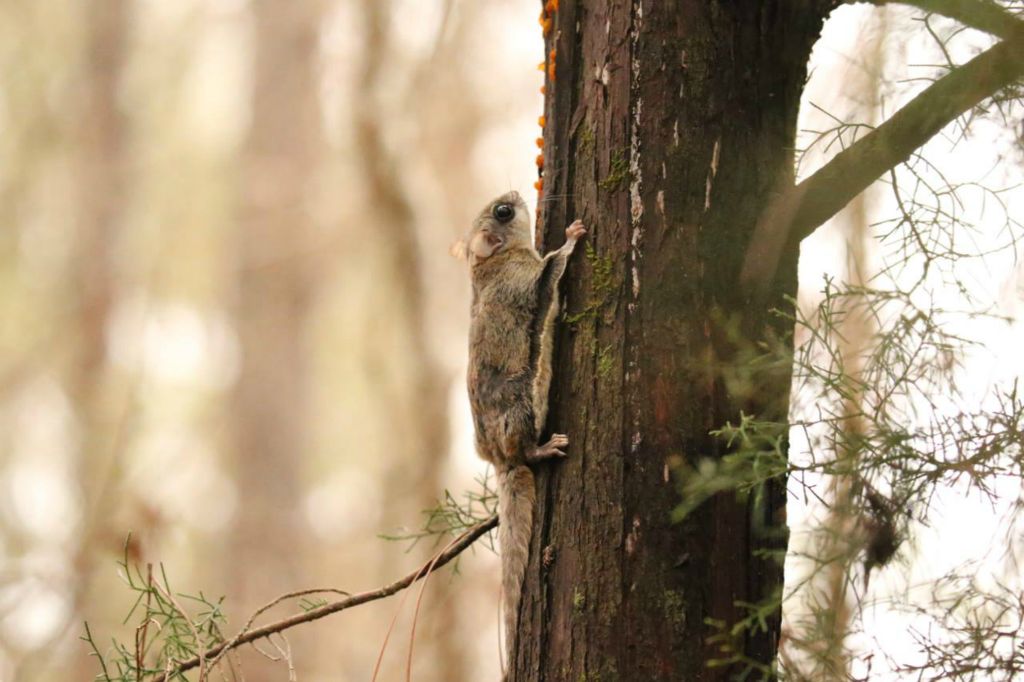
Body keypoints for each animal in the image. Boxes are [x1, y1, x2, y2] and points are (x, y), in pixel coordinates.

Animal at [457, 190, 585, 675]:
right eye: (503, 212)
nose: (514, 194)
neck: (491, 263)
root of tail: (499, 458)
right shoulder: (524, 281)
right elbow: (552, 269)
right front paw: (571, 236)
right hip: (521, 405)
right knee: (528, 451)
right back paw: (544, 449)